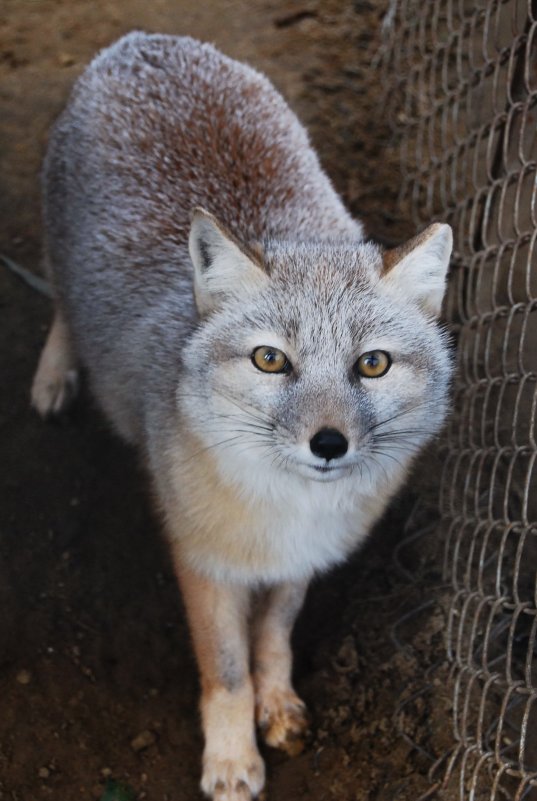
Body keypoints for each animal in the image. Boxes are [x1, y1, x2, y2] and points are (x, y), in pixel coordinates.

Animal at [31, 31, 452, 800]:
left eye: (372, 365)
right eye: (269, 360)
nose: (328, 444)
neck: (288, 510)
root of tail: (144, 41)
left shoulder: (299, 559)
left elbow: (274, 636)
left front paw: (277, 702)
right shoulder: (204, 561)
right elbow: (225, 669)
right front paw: (230, 757)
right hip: (61, 259)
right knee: (63, 306)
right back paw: (55, 370)